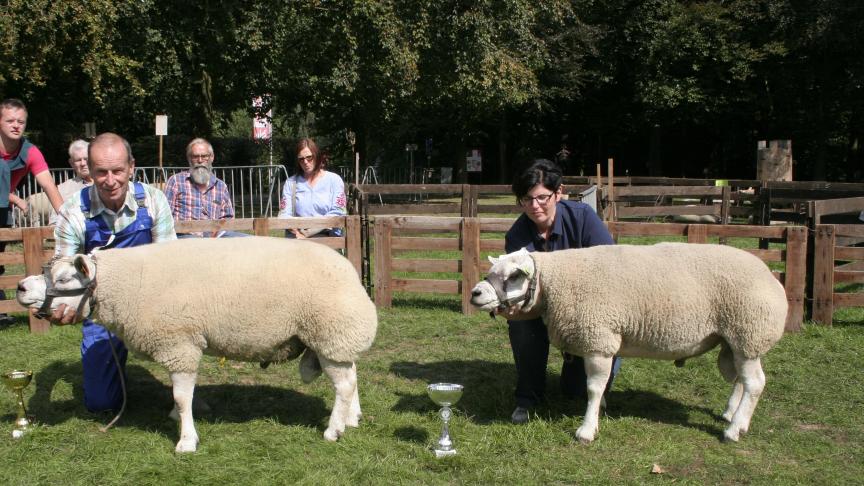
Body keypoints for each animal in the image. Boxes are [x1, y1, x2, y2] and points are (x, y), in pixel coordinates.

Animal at [15, 237, 376, 454]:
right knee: (353, 375)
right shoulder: (179, 344)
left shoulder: (179, 342)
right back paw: (352, 418)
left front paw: (186, 440)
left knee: (344, 384)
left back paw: (334, 430)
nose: (20, 287)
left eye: (64, 280)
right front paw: (178, 418)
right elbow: (180, 394)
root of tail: (350, 272)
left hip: (330, 331)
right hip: (337, 337)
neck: (128, 284)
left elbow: (181, 395)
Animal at [470, 245, 788, 442]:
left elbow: (593, 387)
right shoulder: (597, 339)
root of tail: (771, 277)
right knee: (741, 380)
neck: (555, 281)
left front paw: (587, 429)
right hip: (735, 342)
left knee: (755, 383)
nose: (475, 293)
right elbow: (599, 387)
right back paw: (733, 415)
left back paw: (733, 430)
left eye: (513, 277)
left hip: (749, 331)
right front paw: (599, 410)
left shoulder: (599, 338)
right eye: (491, 274)